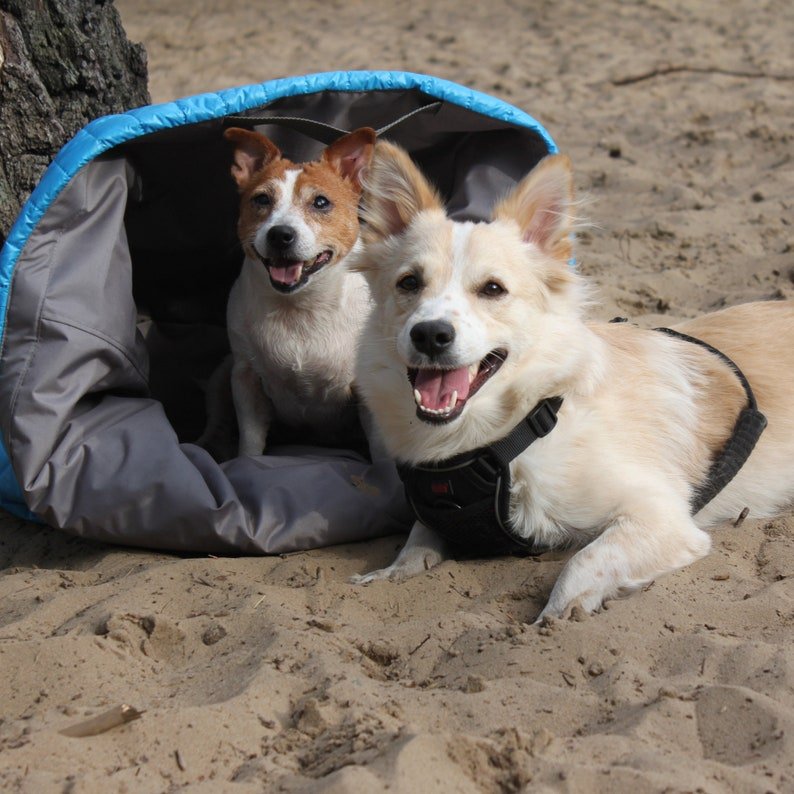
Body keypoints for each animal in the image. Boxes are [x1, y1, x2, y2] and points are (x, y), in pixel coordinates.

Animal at [220, 127, 374, 454]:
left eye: (321, 203)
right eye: (261, 199)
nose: (280, 235)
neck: (301, 305)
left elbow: (381, 450)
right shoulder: (245, 378)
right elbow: (250, 441)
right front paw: (245, 463)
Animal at [350, 141, 792, 620]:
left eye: (492, 289)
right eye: (409, 283)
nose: (430, 334)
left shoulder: (661, 516)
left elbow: (585, 559)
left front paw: (558, 616)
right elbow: (419, 536)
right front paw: (395, 570)